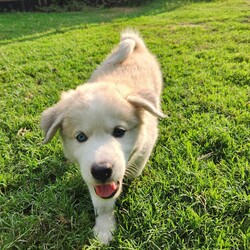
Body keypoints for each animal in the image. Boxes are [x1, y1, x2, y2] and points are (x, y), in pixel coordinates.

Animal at [41, 29, 165, 244]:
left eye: (119, 132)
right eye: (81, 137)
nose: (101, 171)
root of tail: (136, 46)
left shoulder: (147, 143)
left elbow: (135, 169)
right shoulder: (89, 173)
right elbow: (101, 203)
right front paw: (105, 228)